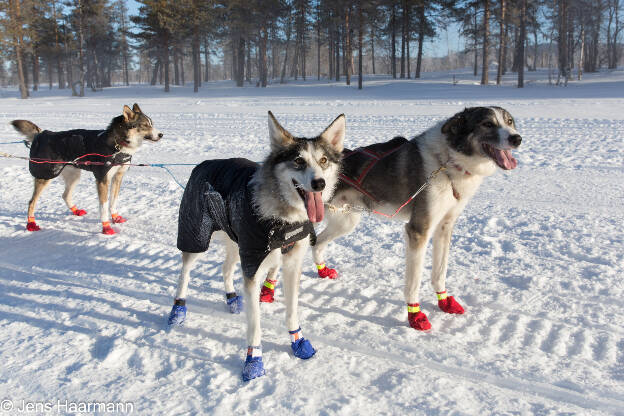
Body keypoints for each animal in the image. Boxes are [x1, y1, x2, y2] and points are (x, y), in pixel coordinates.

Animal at [12, 103, 163, 234]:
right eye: (145, 125)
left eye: (152, 124)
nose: (161, 134)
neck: (118, 144)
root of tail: (41, 133)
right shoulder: (102, 179)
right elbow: (104, 206)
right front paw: (106, 227)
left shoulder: (117, 177)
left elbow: (113, 202)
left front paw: (115, 217)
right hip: (46, 176)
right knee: (31, 202)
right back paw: (31, 224)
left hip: (74, 176)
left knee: (65, 195)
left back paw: (75, 211)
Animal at [169, 110, 346, 380]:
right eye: (298, 161)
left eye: (324, 160)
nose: (319, 184)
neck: (283, 218)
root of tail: (204, 163)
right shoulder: (253, 266)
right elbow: (255, 326)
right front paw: (254, 361)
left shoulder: (290, 264)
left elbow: (292, 311)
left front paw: (298, 342)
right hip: (195, 238)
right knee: (185, 274)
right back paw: (177, 311)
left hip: (235, 242)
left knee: (225, 269)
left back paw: (232, 299)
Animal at [258, 106, 520, 332]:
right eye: (487, 123)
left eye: (509, 121)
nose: (517, 138)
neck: (447, 161)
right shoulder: (418, 231)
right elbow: (414, 283)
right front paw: (415, 315)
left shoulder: (444, 227)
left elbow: (439, 273)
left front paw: (444, 301)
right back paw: (267, 291)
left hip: (345, 221)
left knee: (317, 242)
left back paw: (322, 271)